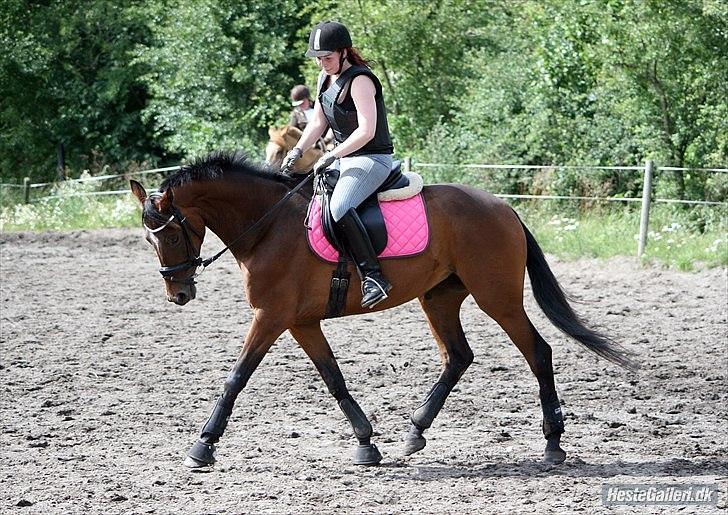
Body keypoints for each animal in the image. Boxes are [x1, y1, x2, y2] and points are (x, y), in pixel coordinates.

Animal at [131, 151, 636, 470]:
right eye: (148, 239)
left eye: (171, 234)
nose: (178, 294)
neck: (267, 226)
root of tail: (505, 208)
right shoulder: (301, 321)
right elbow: (333, 378)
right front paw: (365, 442)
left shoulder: (272, 317)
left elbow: (236, 377)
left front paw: (202, 445)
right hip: (439, 297)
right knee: (458, 356)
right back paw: (415, 431)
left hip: (497, 297)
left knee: (538, 352)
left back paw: (552, 442)